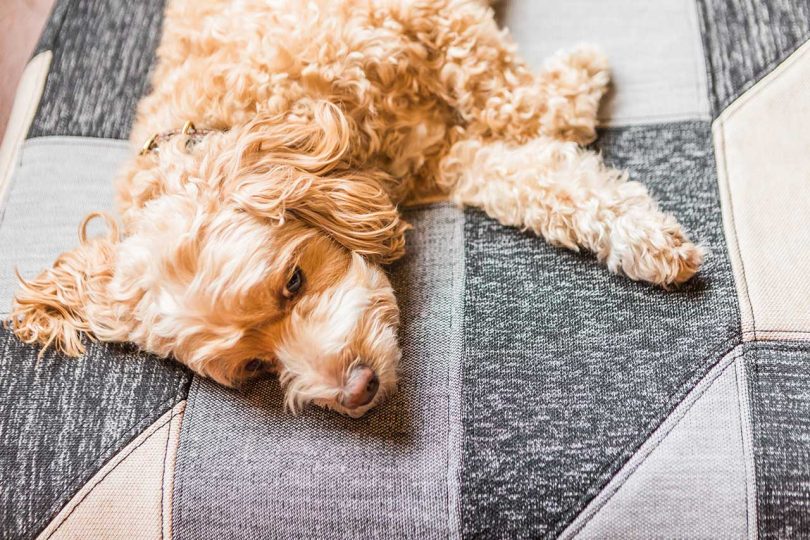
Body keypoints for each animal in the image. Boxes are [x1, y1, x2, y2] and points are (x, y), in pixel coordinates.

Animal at [7, 0, 700, 418]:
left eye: (292, 282)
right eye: (255, 368)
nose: (358, 392)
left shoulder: (435, 18)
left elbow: (522, 102)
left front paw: (580, 75)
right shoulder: (444, 160)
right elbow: (536, 178)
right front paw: (645, 239)